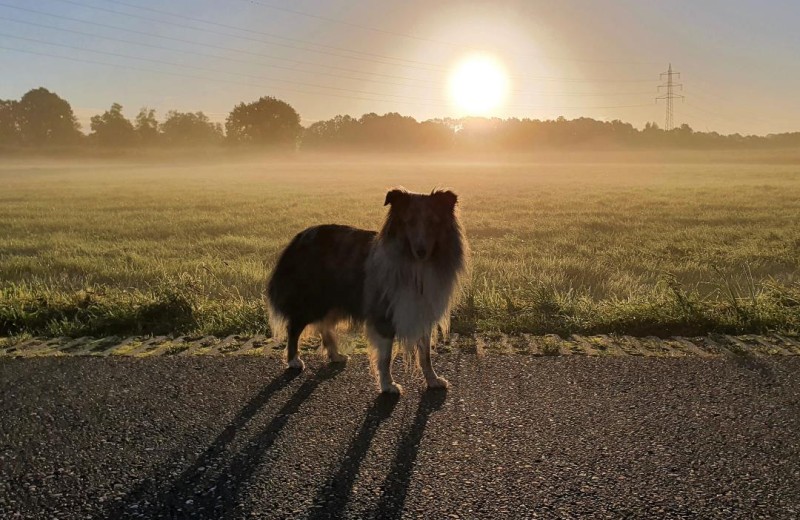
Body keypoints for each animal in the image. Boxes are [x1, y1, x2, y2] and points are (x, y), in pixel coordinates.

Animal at [268, 189, 468, 392]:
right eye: (409, 221)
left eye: (433, 222)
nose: (421, 252)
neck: (415, 266)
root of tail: (299, 237)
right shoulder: (383, 314)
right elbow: (386, 357)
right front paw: (388, 385)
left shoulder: (422, 313)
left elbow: (425, 355)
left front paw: (433, 380)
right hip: (314, 300)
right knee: (294, 326)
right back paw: (294, 360)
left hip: (335, 300)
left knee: (324, 325)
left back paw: (335, 354)